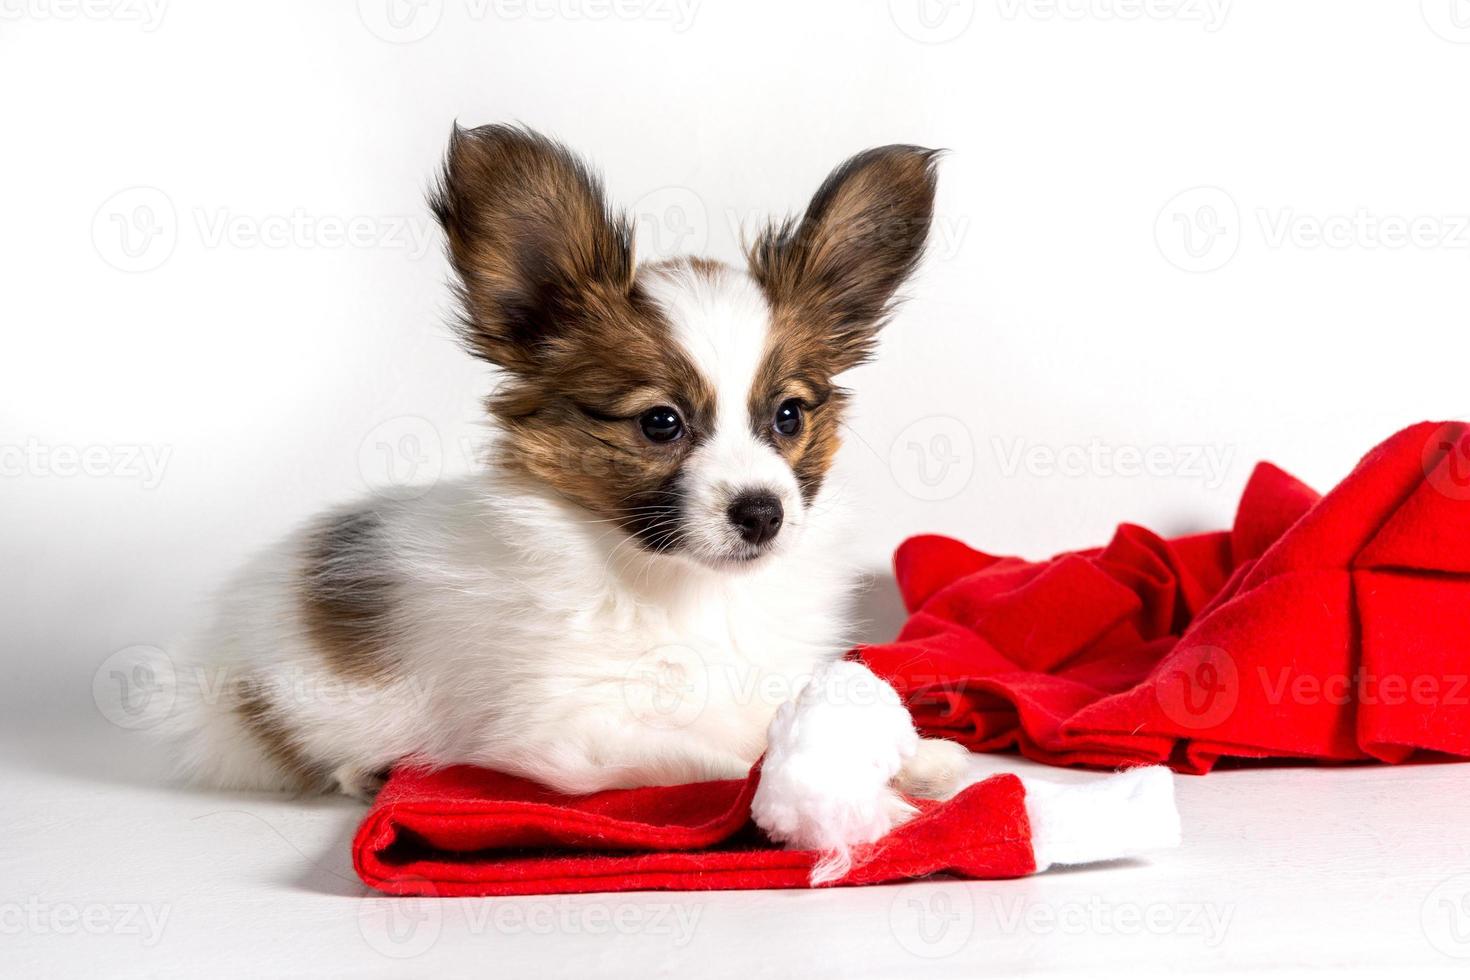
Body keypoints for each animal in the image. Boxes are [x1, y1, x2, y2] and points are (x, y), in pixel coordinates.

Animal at [171, 122, 964, 799]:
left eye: (789, 416)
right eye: (660, 423)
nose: (762, 513)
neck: (681, 589)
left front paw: (916, 756)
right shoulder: (567, 731)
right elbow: (727, 755)